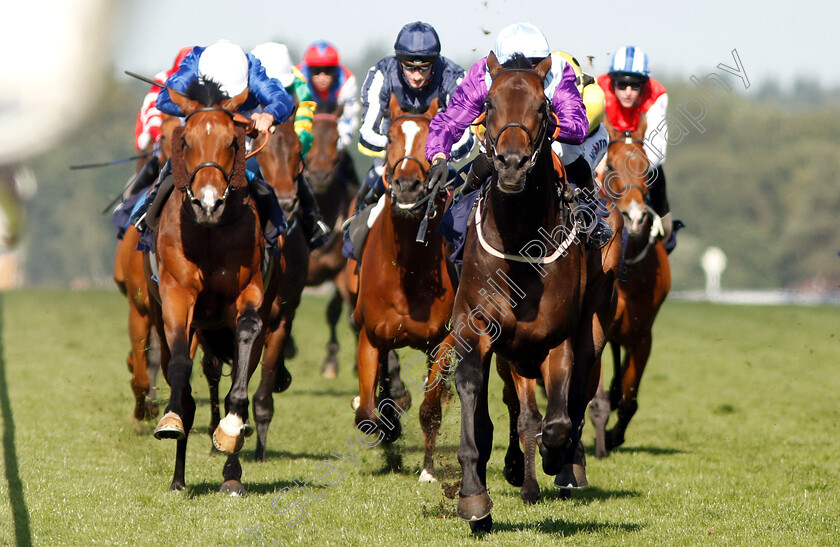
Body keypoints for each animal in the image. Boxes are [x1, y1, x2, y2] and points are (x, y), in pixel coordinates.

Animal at [143, 79, 278, 494]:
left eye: (233, 141)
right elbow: (180, 368)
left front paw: (231, 429)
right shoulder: (176, 294)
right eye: (185, 141)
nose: (207, 203)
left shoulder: (248, 293)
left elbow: (244, 357)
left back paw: (232, 472)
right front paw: (171, 420)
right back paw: (177, 477)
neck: (208, 233)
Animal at [350, 93, 452, 446]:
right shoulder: (369, 336)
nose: (407, 185)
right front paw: (389, 422)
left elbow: (432, 406)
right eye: (391, 137)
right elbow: (366, 416)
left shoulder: (442, 341)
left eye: (431, 136)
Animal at [446, 53, 624, 532]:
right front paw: (474, 497)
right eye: (488, 104)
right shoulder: (477, 326)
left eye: (543, 108)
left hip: (594, 322)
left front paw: (553, 456)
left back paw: (565, 466)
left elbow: (559, 417)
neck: (522, 239)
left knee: (577, 396)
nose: (511, 163)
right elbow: (476, 402)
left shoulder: (556, 334)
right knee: (517, 406)